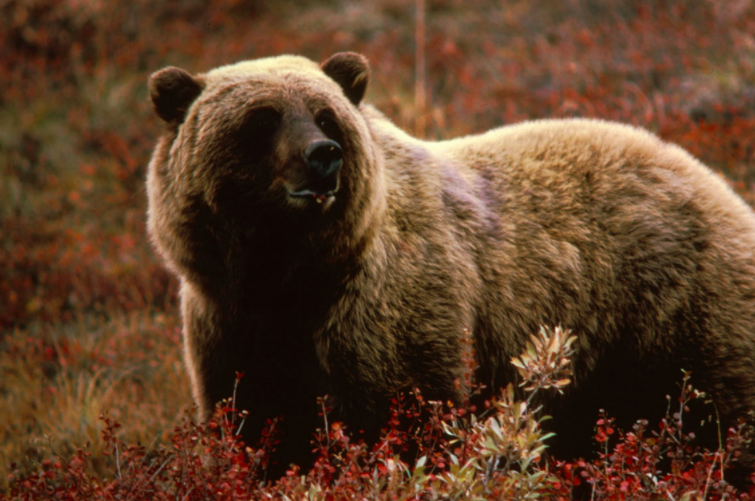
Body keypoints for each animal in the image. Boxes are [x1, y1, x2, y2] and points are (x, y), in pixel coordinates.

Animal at [146, 51, 755, 476]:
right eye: (263, 118)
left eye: (325, 115)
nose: (323, 156)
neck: (289, 273)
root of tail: (717, 183)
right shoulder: (229, 324)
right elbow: (255, 426)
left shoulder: (387, 310)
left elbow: (403, 418)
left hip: (675, 314)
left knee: (720, 418)